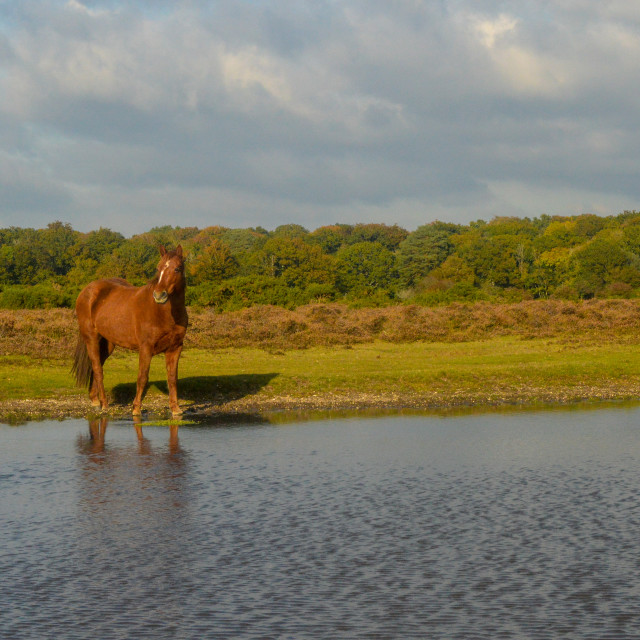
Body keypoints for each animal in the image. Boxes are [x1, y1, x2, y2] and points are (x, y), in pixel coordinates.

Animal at [73, 244, 188, 416]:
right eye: (158, 268)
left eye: (177, 268)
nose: (159, 295)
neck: (164, 313)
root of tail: (87, 290)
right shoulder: (146, 348)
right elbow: (142, 377)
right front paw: (136, 408)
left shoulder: (175, 348)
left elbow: (172, 378)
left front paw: (175, 409)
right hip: (91, 338)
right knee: (97, 369)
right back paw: (104, 404)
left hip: (108, 344)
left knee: (97, 366)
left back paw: (95, 400)